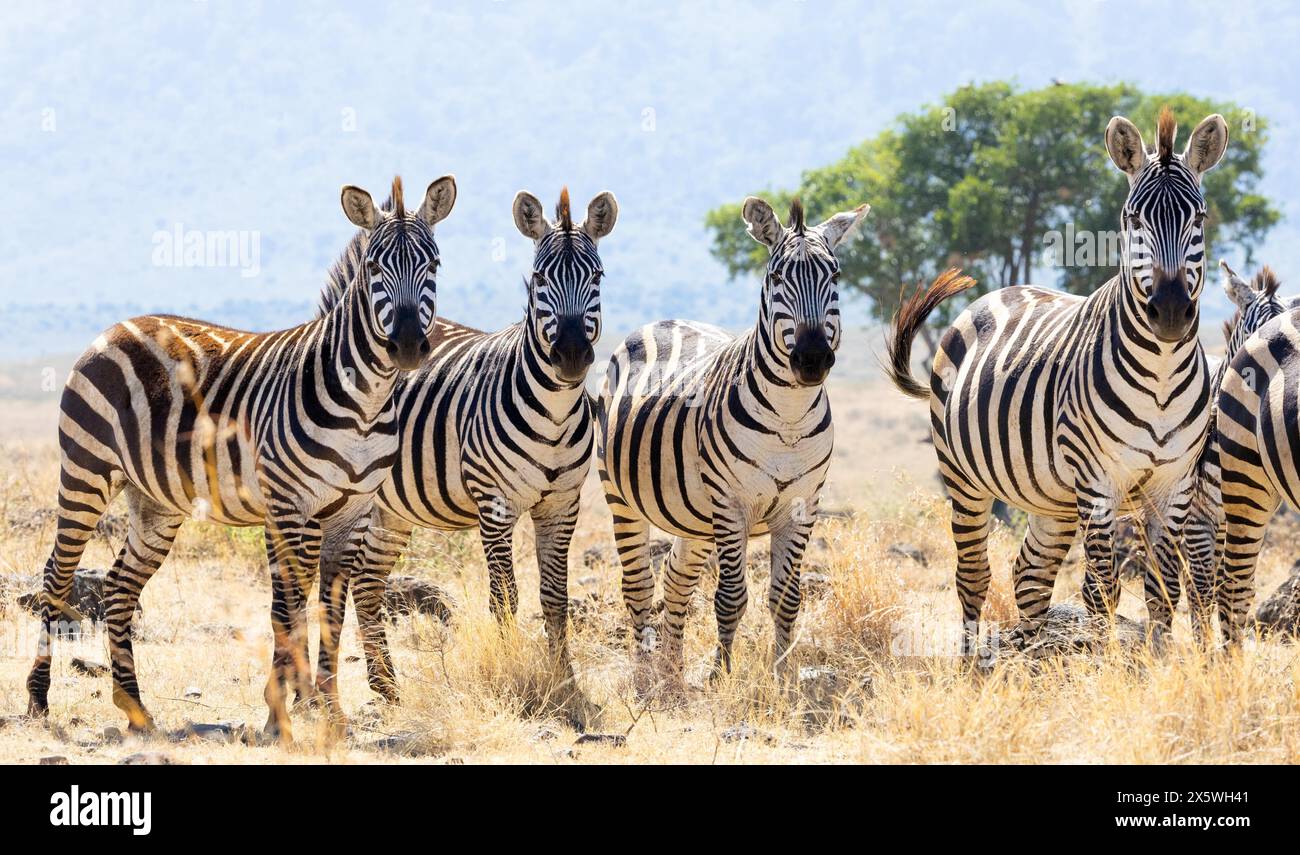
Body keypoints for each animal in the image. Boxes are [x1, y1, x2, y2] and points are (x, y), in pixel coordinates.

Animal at [24, 176, 457, 738]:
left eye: (434, 264)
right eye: (373, 267)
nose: (406, 345)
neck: (366, 401)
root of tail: (116, 326)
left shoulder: (351, 512)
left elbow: (329, 612)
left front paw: (328, 710)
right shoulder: (289, 506)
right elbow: (286, 609)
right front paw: (281, 712)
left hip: (155, 502)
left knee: (119, 587)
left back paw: (135, 708)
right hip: (86, 471)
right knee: (56, 576)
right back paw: (38, 699)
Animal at [317, 188, 616, 706]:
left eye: (596, 277)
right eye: (540, 278)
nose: (573, 355)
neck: (555, 412)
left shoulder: (562, 505)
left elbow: (555, 598)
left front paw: (565, 682)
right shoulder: (494, 504)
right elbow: (505, 596)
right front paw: (513, 674)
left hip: (390, 510)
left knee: (369, 581)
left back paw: (387, 685)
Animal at [595, 194, 863, 686]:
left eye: (835, 277)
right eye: (776, 278)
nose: (812, 359)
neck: (789, 418)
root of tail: (664, 320)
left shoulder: (803, 506)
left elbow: (787, 598)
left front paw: (782, 677)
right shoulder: (731, 504)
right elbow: (731, 596)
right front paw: (721, 675)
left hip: (695, 518)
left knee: (675, 578)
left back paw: (673, 672)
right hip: (621, 496)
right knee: (639, 585)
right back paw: (646, 678)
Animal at [883, 108, 1227, 652]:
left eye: (1200, 218)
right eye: (1134, 219)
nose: (1171, 312)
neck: (1161, 376)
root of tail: (999, 291)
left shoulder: (1174, 485)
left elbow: (1164, 588)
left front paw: (1159, 661)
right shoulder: (1098, 481)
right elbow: (1101, 590)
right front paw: (1108, 664)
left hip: (1052, 498)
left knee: (1030, 573)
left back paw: (1033, 655)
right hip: (963, 477)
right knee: (973, 575)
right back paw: (970, 663)